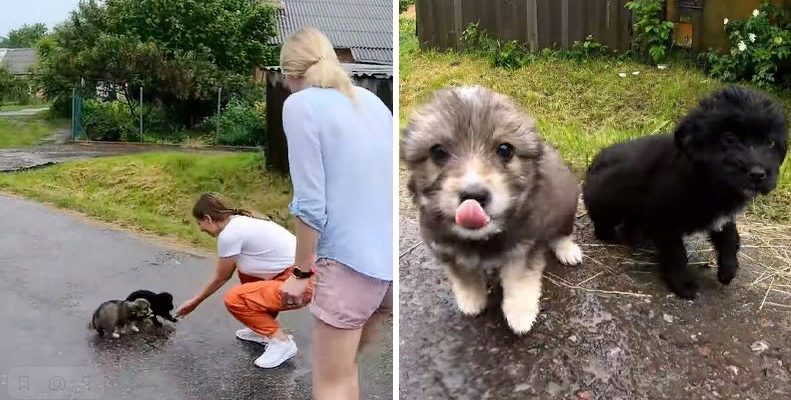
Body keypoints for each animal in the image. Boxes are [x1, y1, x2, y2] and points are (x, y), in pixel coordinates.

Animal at [584, 87, 788, 300]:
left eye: (770, 142)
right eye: (730, 138)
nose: (758, 174)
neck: (708, 180)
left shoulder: (721, 217)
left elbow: (730, 236)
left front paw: (728, 269)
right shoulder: (665, 222)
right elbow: (677, 255)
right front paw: (683, 284)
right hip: (605, 203)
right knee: (603, 221)